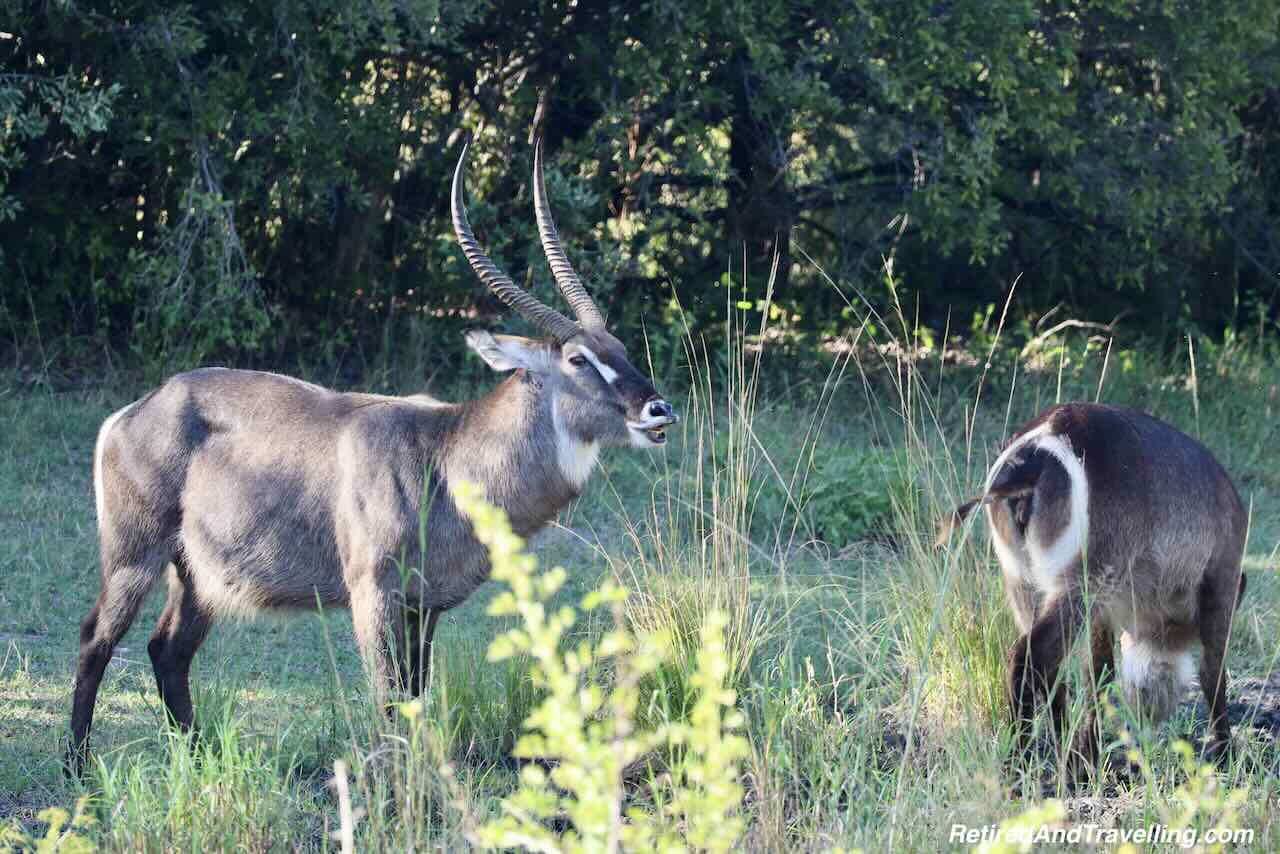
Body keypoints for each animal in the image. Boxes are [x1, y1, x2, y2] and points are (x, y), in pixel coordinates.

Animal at [67, 138, 680, 773]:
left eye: (620, 347)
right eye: (579, 359)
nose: (657, 408)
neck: (447, 456)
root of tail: (140, 407)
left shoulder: (423, 607)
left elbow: (415, 696)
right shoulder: (373, 594)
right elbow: (388, 700)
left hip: (198, 576)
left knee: (167, 651)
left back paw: (199, 757)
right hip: (134, 555)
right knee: (97, 640)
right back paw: (77, 766)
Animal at [936, 404, 1244, 763]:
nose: (1149, 720)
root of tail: (1036, 451)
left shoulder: (1104, 611)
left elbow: (1099, 676)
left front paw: (1090, 755)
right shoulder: (1221, 579)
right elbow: (1213, 673)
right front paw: (1226, 754)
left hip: (1025, 582)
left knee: (1050, 667)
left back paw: (1063, 752)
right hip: (1081, 583)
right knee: (1028, 657)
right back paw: (1018, 760)